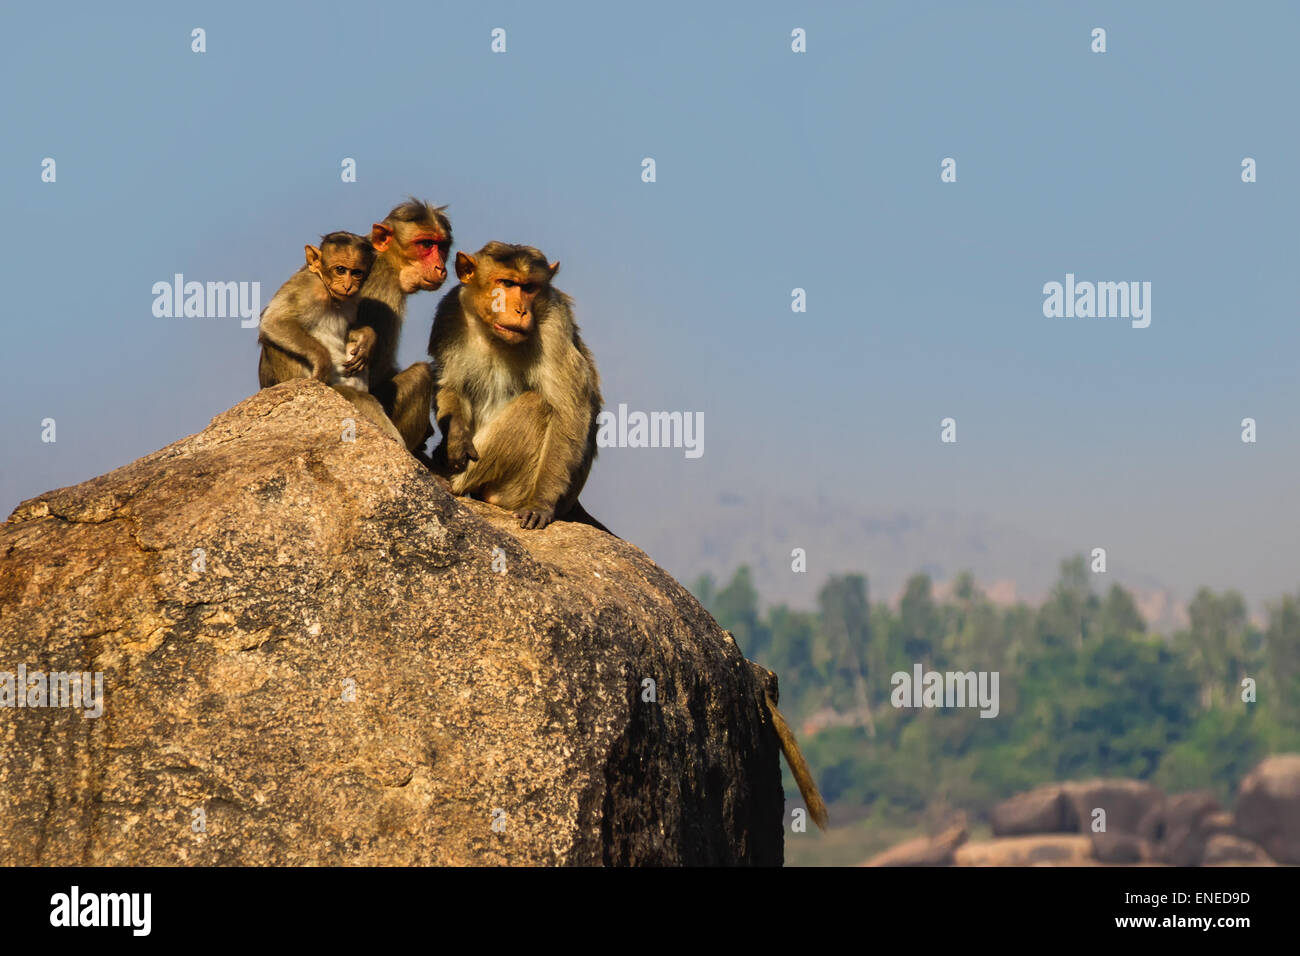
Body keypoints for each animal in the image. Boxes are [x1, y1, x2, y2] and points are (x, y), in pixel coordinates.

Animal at [257, 231, 400, 444]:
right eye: (340, 269)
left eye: (356, 272)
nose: (348, 285)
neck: (328, 292)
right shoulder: (307, 286)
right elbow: (274, 321)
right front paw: (322, 360)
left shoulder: (353, 299)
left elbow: (349, 331)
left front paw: (367, 337)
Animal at [358, 197, 454, 452]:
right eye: (425, 244)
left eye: (441, 246)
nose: (441, 268)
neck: (386, 259)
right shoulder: (384, 293)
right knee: (422, 373)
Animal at [431, 243, 603, 530]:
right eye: (507, 283)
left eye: (529, 287)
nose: (521, 310)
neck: (494, 335)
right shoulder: (450, 311)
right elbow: (450, 383)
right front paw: (455, 437)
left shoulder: (554, 325)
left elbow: (569, 411)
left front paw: (540, 502)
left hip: (514, 488)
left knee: (536, 405)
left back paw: (450, 483)